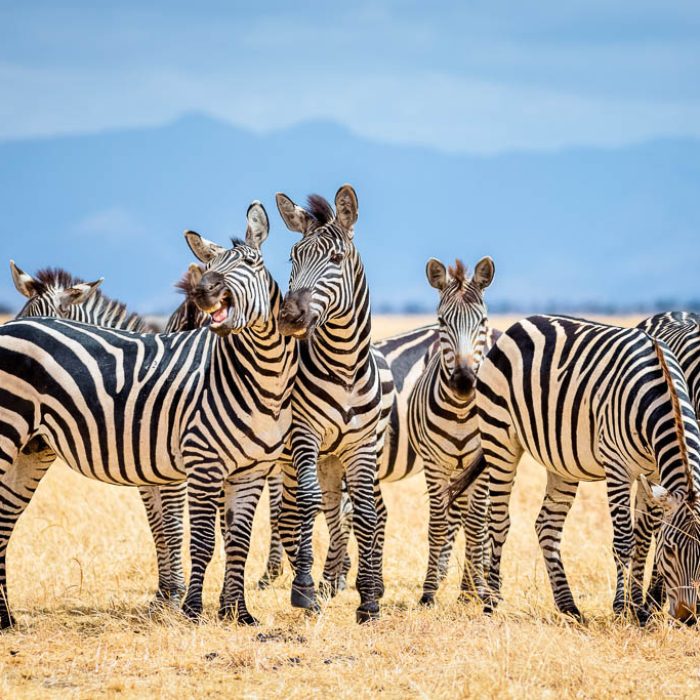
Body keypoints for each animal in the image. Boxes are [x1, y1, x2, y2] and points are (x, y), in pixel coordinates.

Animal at [9, 262, 188, 606]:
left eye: (48, 323)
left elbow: (173, 524)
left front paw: (175, 596)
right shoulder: (147, 476)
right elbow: (158, 527)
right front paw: (163, 594)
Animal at [450, 314, 700, 624]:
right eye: (670, 550)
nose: (688, 617)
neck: (660, 392)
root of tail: (520, 324)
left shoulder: (652, 474)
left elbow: (643, 538)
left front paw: (640, 610)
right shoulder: (617, 467)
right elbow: (624, 540)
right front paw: (622, 608)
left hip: (561, 462)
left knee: (547, 525)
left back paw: (568, 606)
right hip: (500, 439)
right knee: (498, 521)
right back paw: (492, 602)